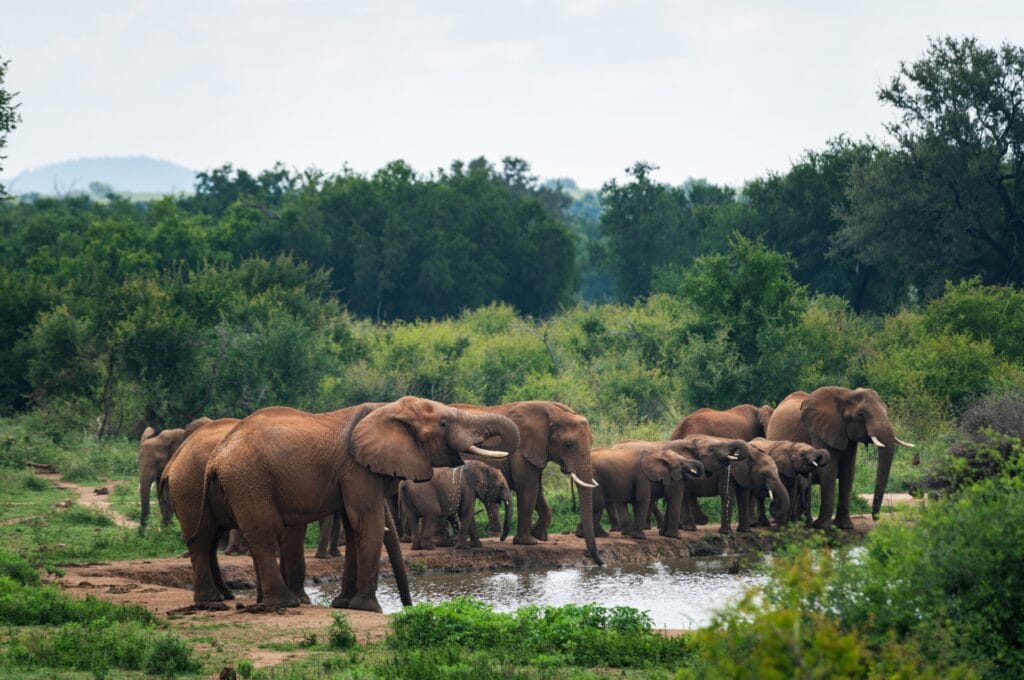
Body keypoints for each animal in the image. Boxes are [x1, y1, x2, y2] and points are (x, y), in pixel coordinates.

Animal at [189, 397, 520, 612]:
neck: (384, 409)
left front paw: (344, 604)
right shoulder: (356, 469)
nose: (409, 609)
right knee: (262, 531)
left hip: (231, 485)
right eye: (443, 422)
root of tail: (217, 457)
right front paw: (369, 609)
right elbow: (367, 524)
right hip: (249, 479)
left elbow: (353, 527)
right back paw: (282, 604)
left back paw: (213, 602)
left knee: (205, 536)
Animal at [454, 401, 603, 566]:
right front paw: (529, 542)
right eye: (568, 444)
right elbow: (528, 488)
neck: (553, 414)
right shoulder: (521, 451)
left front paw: (539, 535)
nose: (600, 562)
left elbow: (537, 490)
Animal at [766, 387, 915, 529]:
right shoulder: (820, 431)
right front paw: (822, 526)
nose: (876, 519)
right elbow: (829, 470)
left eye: (886, 410)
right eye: (861, 414)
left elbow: (848, 471)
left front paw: (845, 526)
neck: (847, 395)